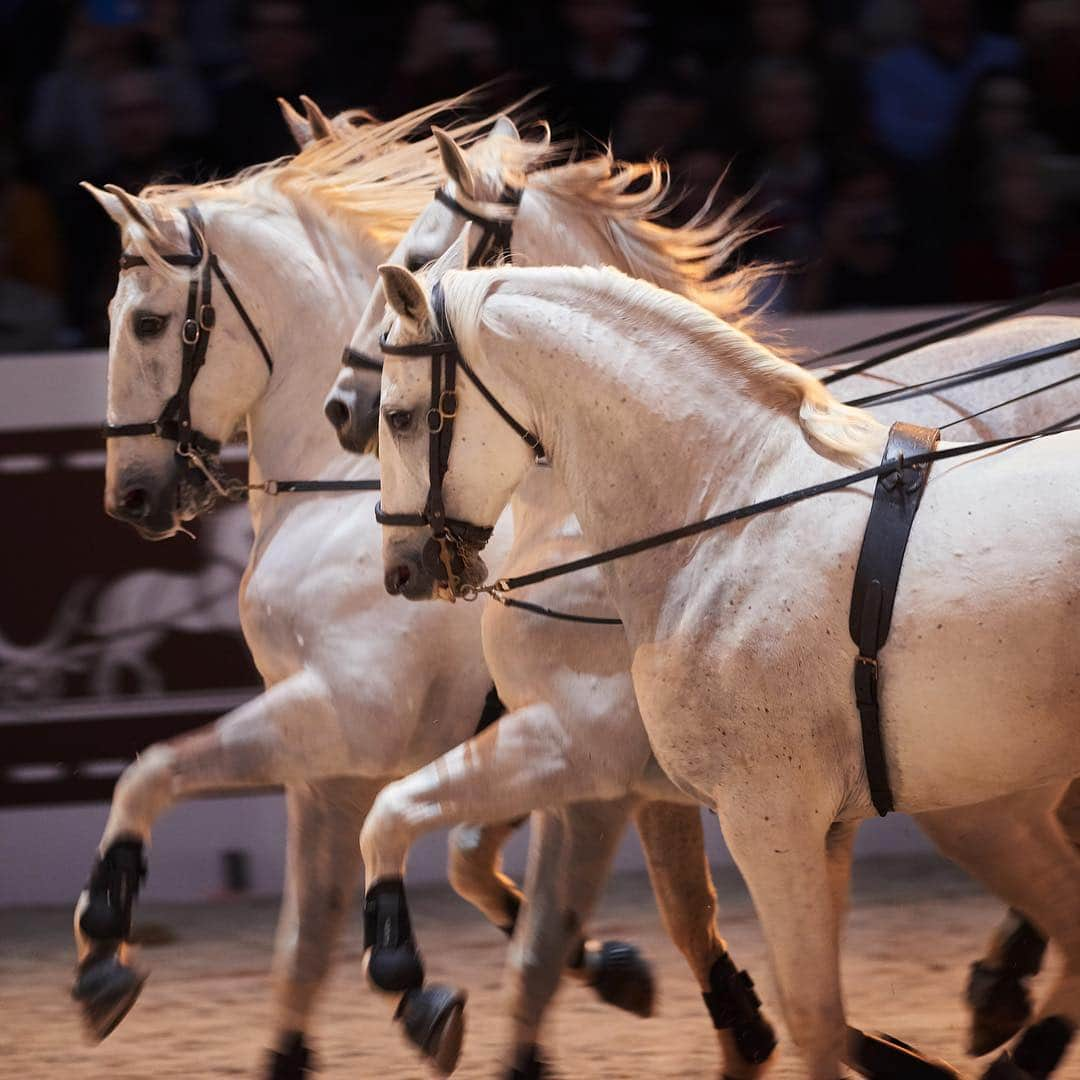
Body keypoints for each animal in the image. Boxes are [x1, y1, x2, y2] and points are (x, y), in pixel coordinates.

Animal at [339, 124, 1080, 1071]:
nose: (401, 569)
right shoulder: (682, 793)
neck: (727, 505)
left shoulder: (669, 783)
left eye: (402, 416)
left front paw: (409, 977)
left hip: (987, 806)